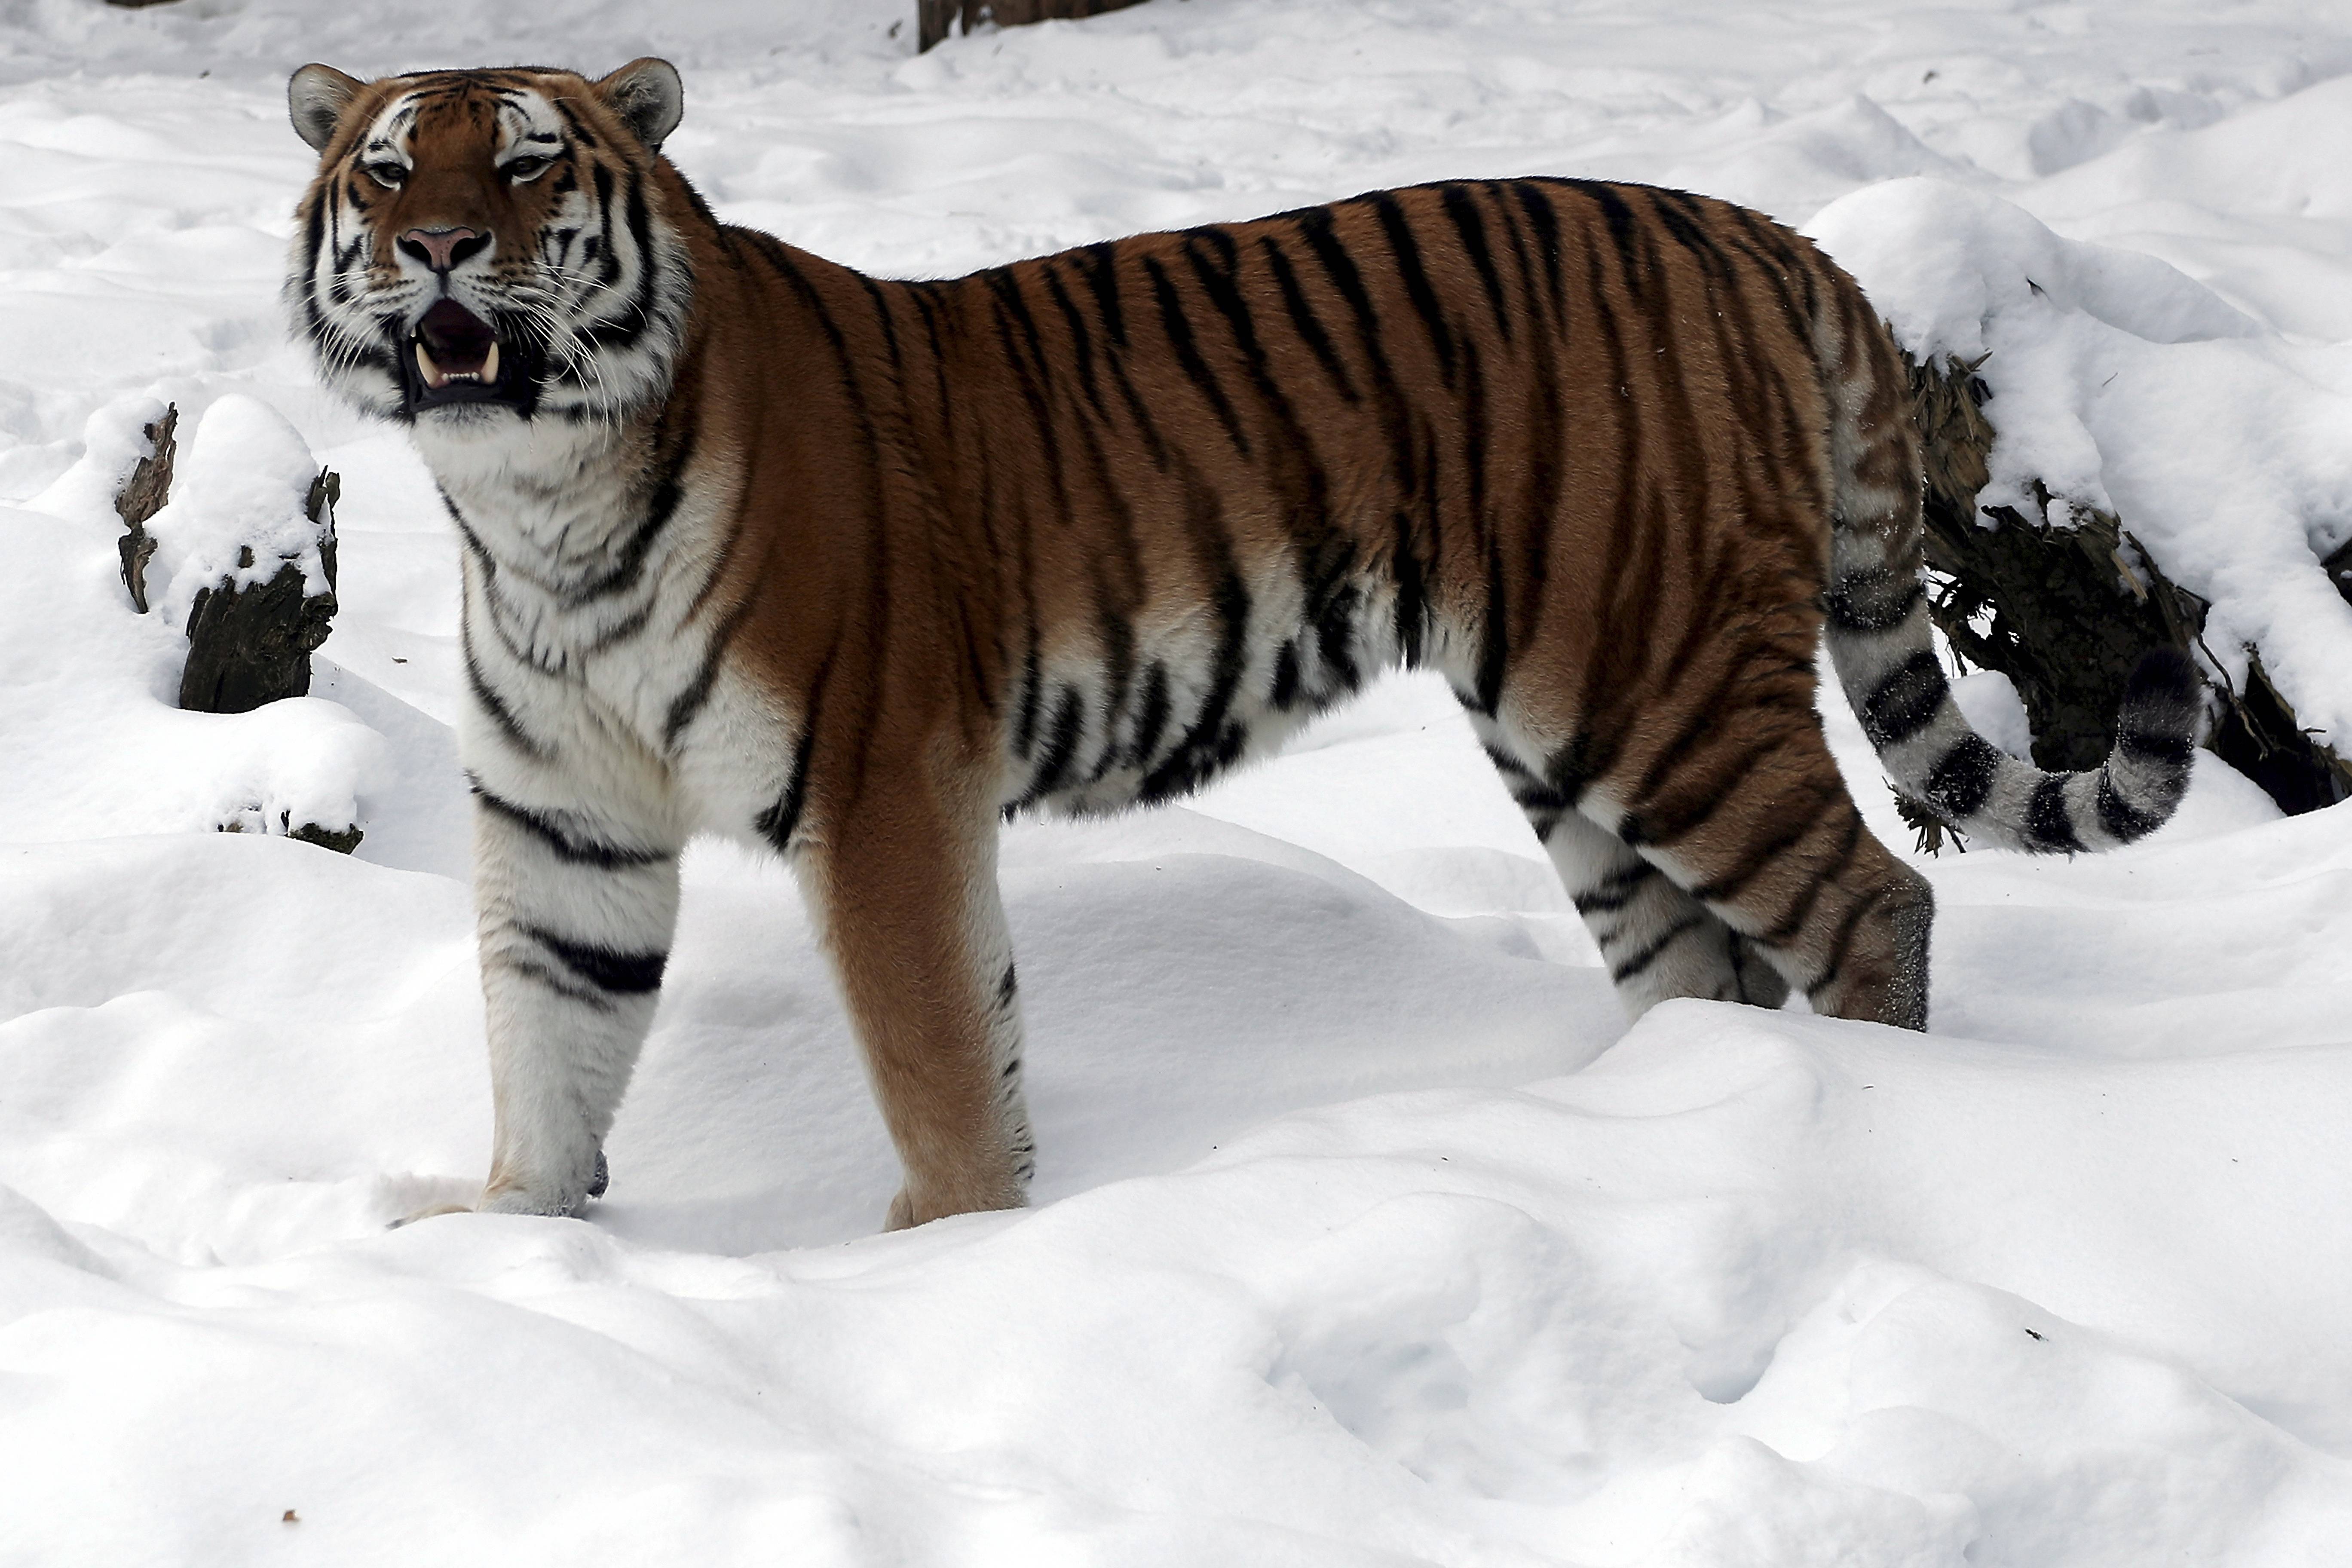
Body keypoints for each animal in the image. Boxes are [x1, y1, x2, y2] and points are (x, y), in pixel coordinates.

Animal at [285, 58, 2192, 1222]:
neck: (535, 501)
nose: (435, 244)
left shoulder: (881, 786)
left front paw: (946, 1251)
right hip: (1567, 738)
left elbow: (933, 1052)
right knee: (1702, 962)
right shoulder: (566, 820)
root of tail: (1760, 229)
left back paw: (1869, 1129)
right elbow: (550, 1034)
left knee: (1878, 902)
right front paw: (513, 1234)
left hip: (1657, 683)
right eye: (382, 170)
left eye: (526, 162)